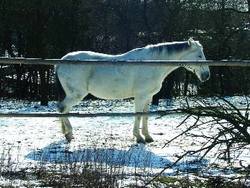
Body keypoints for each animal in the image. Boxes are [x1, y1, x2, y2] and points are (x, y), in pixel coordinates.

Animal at [55, 38, 210, 144]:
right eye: (199, 55)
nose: (206, 75)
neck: (152, 64)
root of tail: (61, 61)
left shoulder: (148, 97)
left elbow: (146, 116)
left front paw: (147, 136)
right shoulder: (140, 96)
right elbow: (139, 115)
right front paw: (139, 137)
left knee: (65, 110)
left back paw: (68, 133)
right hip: (76, 94)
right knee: (62, 108)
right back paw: (69, 134)